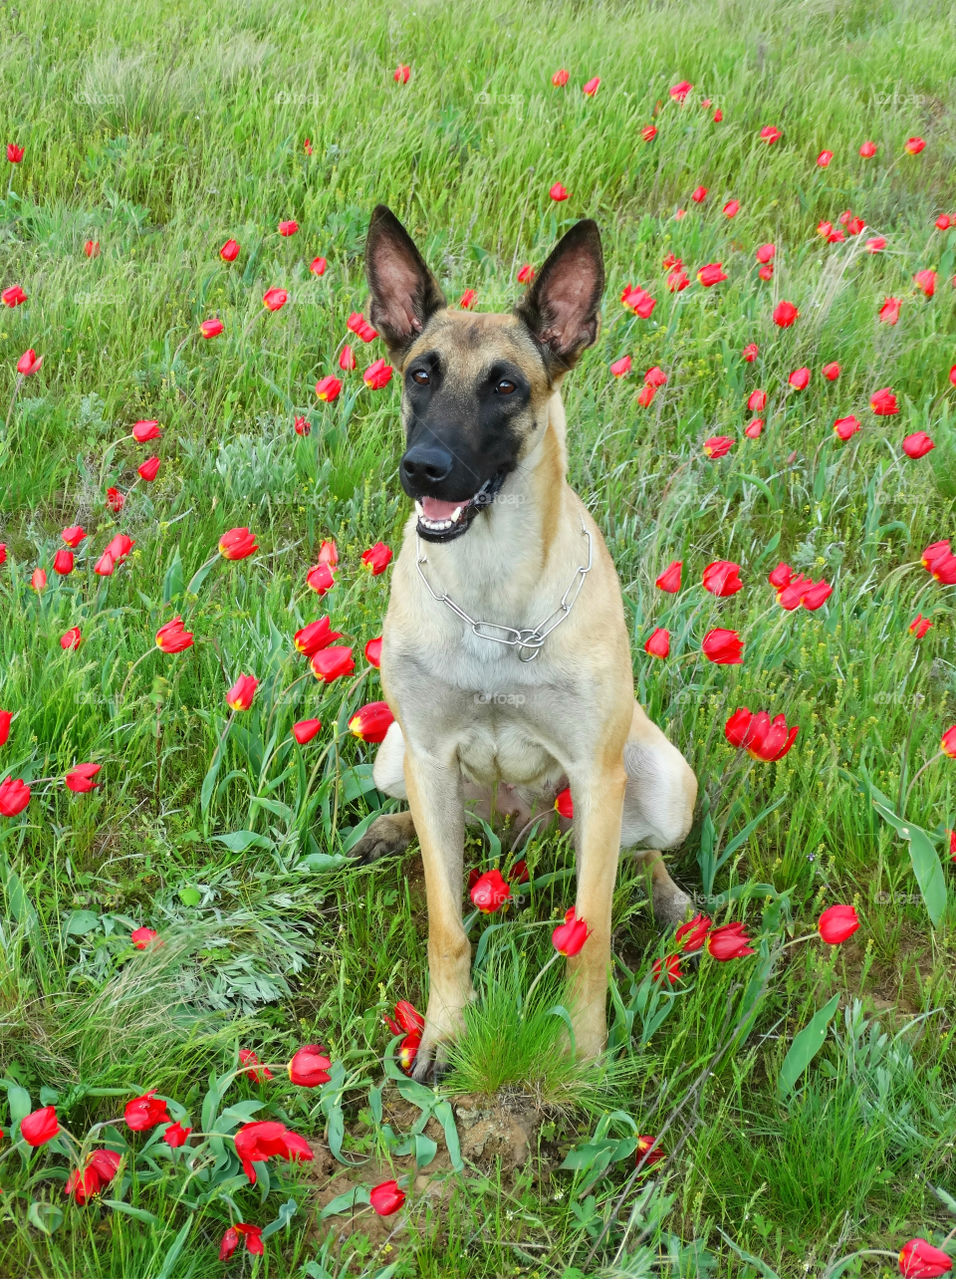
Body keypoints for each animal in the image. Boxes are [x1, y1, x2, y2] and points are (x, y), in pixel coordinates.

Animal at [350, 207, 696, 1080]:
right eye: (420, 375)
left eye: (505, 386)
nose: (422, 469)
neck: (491, 599)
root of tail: (517, 836)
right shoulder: (429, 750)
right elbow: (447, 925)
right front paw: (444, 1032)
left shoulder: (596, 773)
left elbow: (592, 936)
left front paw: (584, 1053)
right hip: (396, 755)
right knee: (432, 826)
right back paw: (391, 832)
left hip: (659, 783)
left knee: (640, 857)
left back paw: (670, 900)